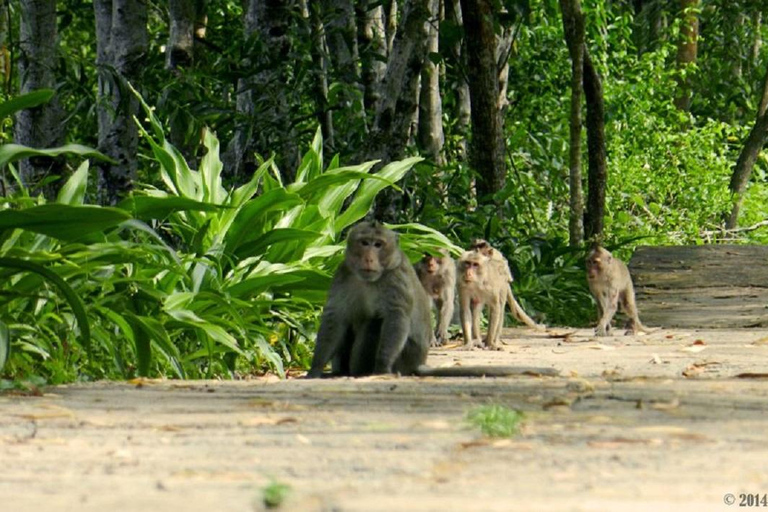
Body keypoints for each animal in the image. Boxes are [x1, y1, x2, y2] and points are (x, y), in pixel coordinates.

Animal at [306, 222, 560, 378]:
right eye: (364, 242)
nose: (369, 257)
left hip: (406, 355)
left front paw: (382, 367)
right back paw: (340, 372)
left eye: (378, 245)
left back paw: (361, 372)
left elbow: (396, 318)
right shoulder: (344, 273)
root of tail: (418, 362)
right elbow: (335, 317)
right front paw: (315, 369)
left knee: (374, 323)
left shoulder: (397, 280)